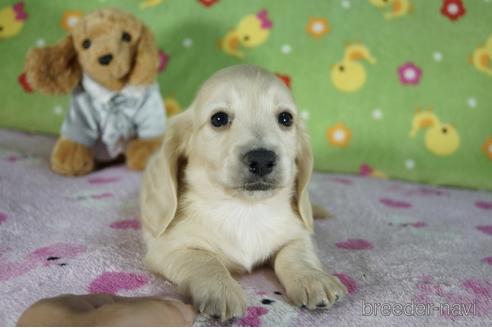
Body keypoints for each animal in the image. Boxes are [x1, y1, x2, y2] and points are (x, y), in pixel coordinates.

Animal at [139, 64, 346, 320]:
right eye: (219, 119)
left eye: (286, 118)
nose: (262, 159)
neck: (245, 210)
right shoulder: (167, 249)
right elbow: (204, 260)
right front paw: (221, 290)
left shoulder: (297, 235)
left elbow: (296, 255)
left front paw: (313, 278)